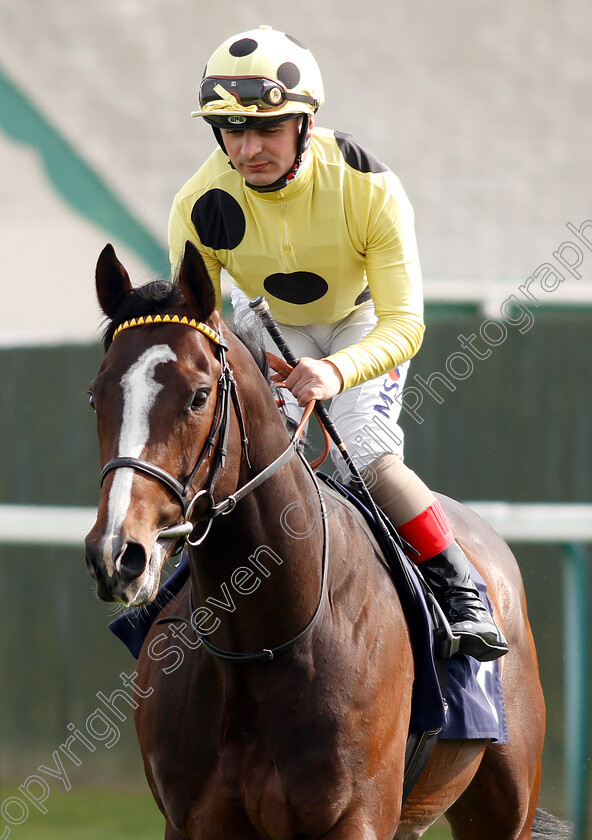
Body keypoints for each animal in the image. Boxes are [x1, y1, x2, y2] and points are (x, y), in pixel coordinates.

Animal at [84, 243, 556, 840]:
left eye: (198, 395)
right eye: (96, 397)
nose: (117, 554)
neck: (260, 643)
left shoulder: (356, 818)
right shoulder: (190, 821)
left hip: (505, 803)